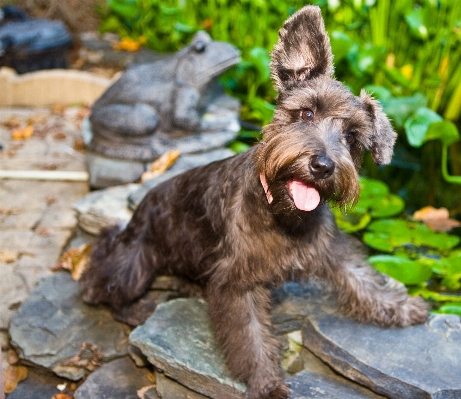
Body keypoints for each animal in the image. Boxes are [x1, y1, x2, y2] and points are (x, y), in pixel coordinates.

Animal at [80, 6, 428, 399]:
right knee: (107, 255)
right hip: (133, 264)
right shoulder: (238, 284)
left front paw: (402, 307)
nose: (322, 165)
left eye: (352, 136)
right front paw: (266, 383)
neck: (284, 216)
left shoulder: (334, 253)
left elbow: (366, 282)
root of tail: (142, 205)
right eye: (307, 113)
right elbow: (250, 338)